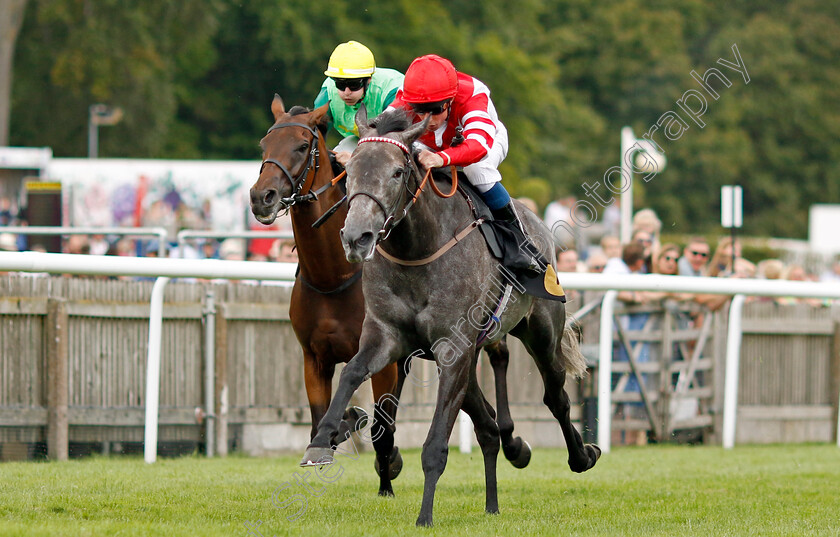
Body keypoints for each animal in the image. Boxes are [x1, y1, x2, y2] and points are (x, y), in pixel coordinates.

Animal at [300, 107, 596, 524]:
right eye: (352, 169)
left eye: (397, 172)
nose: (357, 237)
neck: (415, 250)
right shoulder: (385, 335)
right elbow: (353, 372)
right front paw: (322, 440)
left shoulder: (453, 349)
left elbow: (435, 445)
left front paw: (424, 516)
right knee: (488, 426)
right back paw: (494, 500)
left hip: (541, 333)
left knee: (556, 397)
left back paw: (582, 456)